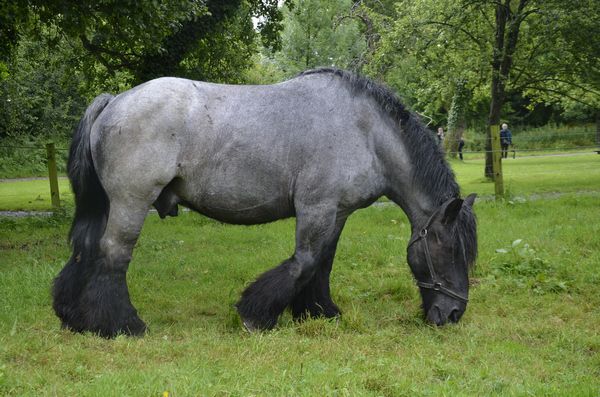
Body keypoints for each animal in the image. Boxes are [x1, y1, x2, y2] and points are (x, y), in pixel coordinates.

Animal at [55, 69, 478, 338]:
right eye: (448, 250)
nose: (454, 314)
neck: (365, 131)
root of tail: (114, 100)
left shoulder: (337, 212)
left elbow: (322, 264)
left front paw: (319, 312)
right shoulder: (316, 208)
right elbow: (304, 261)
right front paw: (257, 317)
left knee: (87, 251)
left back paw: (75, 317)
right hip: (131, 203)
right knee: (113, 257)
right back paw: (123, 326)